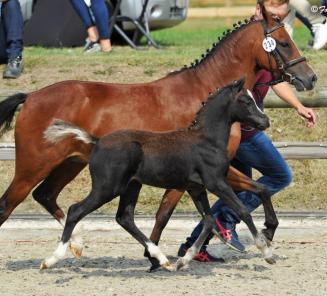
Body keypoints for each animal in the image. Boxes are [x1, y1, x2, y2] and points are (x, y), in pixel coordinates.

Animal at [41, 78, 272, 270]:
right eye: (246, 101)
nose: (265, 121)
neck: (206, 140)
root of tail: (96, 141)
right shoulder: (216, 182)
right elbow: (242, 210)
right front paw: (266, 249)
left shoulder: (196, 188)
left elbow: (208, 220)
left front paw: (184, 260)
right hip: (107, 188)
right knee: (75, 210)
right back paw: (51, 259)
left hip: (131, 186)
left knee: (124, 218)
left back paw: (162, 259)